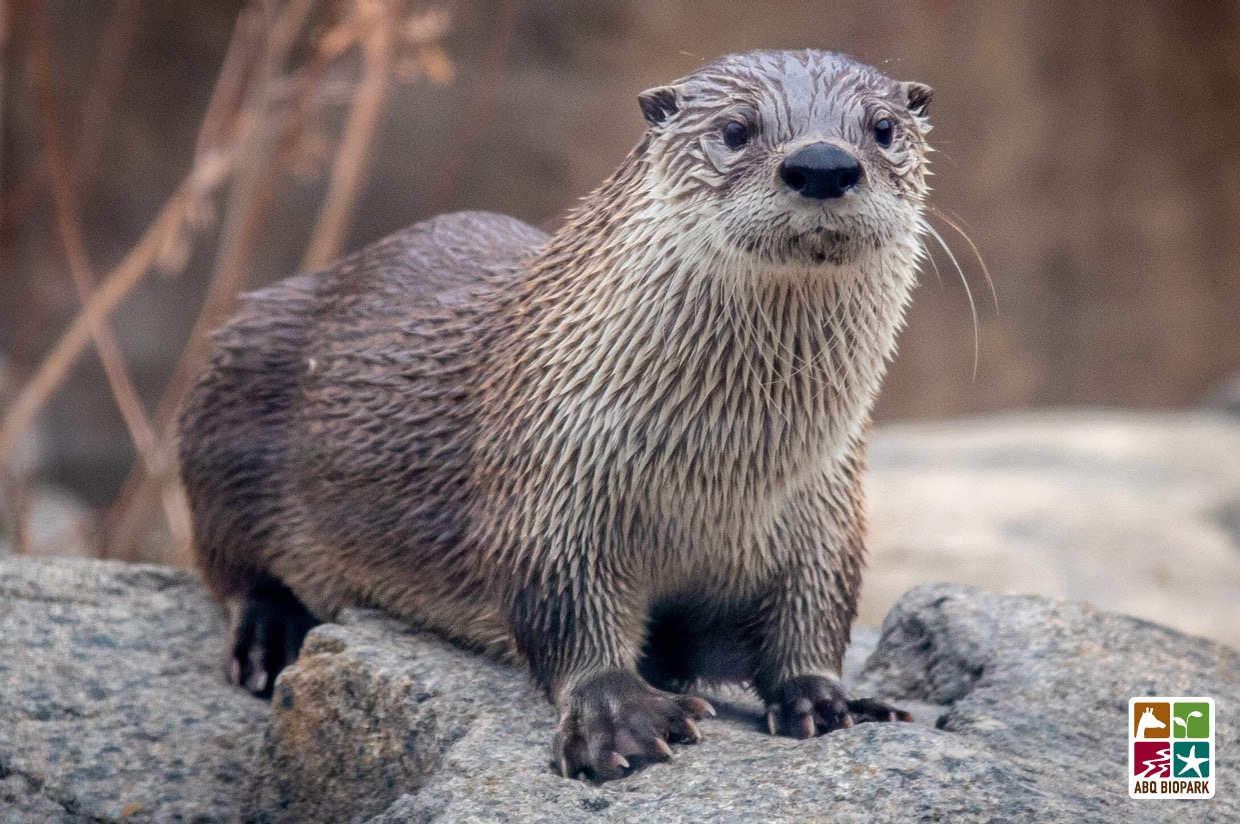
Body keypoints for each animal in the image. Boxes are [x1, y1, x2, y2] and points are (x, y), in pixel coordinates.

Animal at [179, 49, 933, 781]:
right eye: (735, 130)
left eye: (883, 128)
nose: (823, 164)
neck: (721, 478)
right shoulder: (552, 480)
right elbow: (565, 607)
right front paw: (619, 718)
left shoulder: (827, 508)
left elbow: (814, 612)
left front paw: (830, 700)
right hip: (234, 375)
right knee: (226, 563)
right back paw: (269, 639)